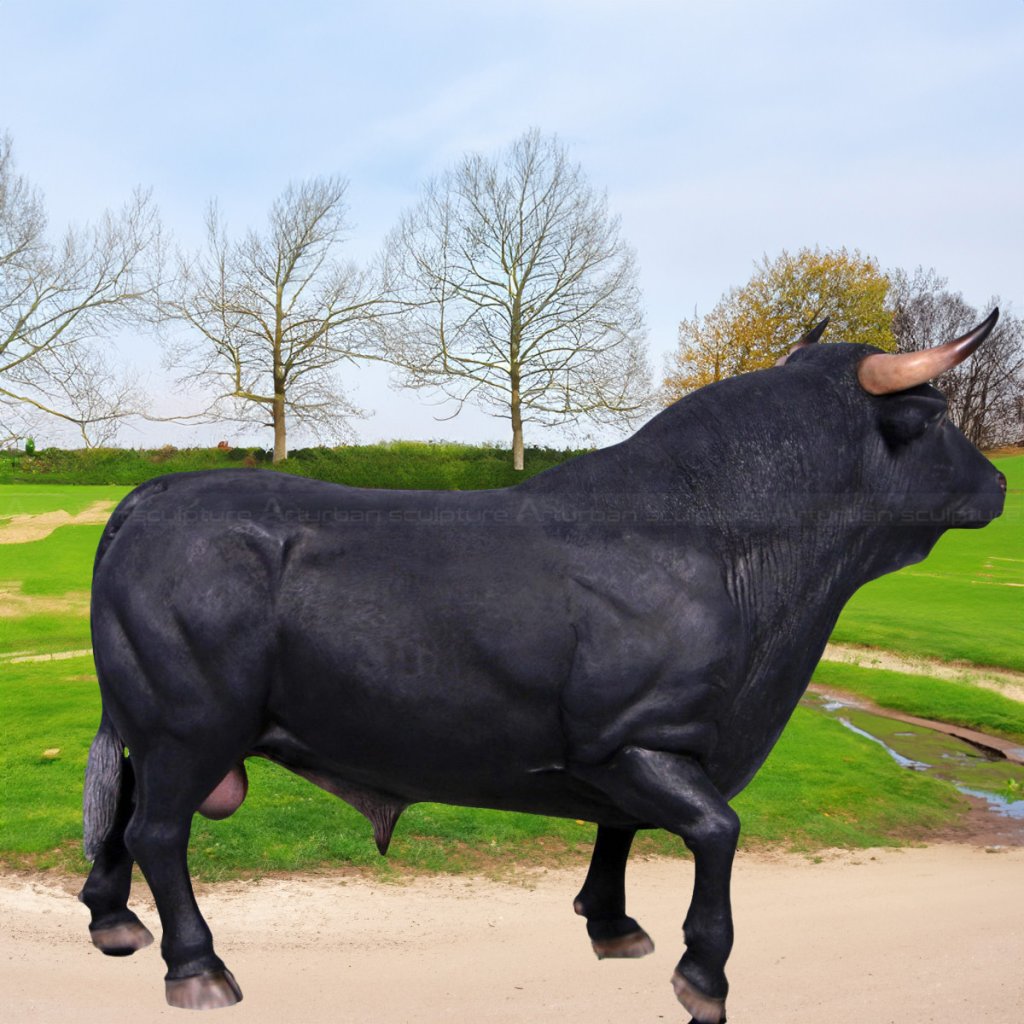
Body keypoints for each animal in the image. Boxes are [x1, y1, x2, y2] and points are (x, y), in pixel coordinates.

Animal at [80, 311, 1006, 1020]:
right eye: (934, 416)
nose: (1001, 484)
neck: (722, 541)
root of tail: (157, 494)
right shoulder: (633, 738)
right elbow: (717, 832)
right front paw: (702, 976)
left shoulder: (643, 748)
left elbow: (621, 831)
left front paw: (612, 925)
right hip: (188, 727)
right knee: (158, 832)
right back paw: (197, 967)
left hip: (149, 730)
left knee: (120, 817)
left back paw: (112, 921)